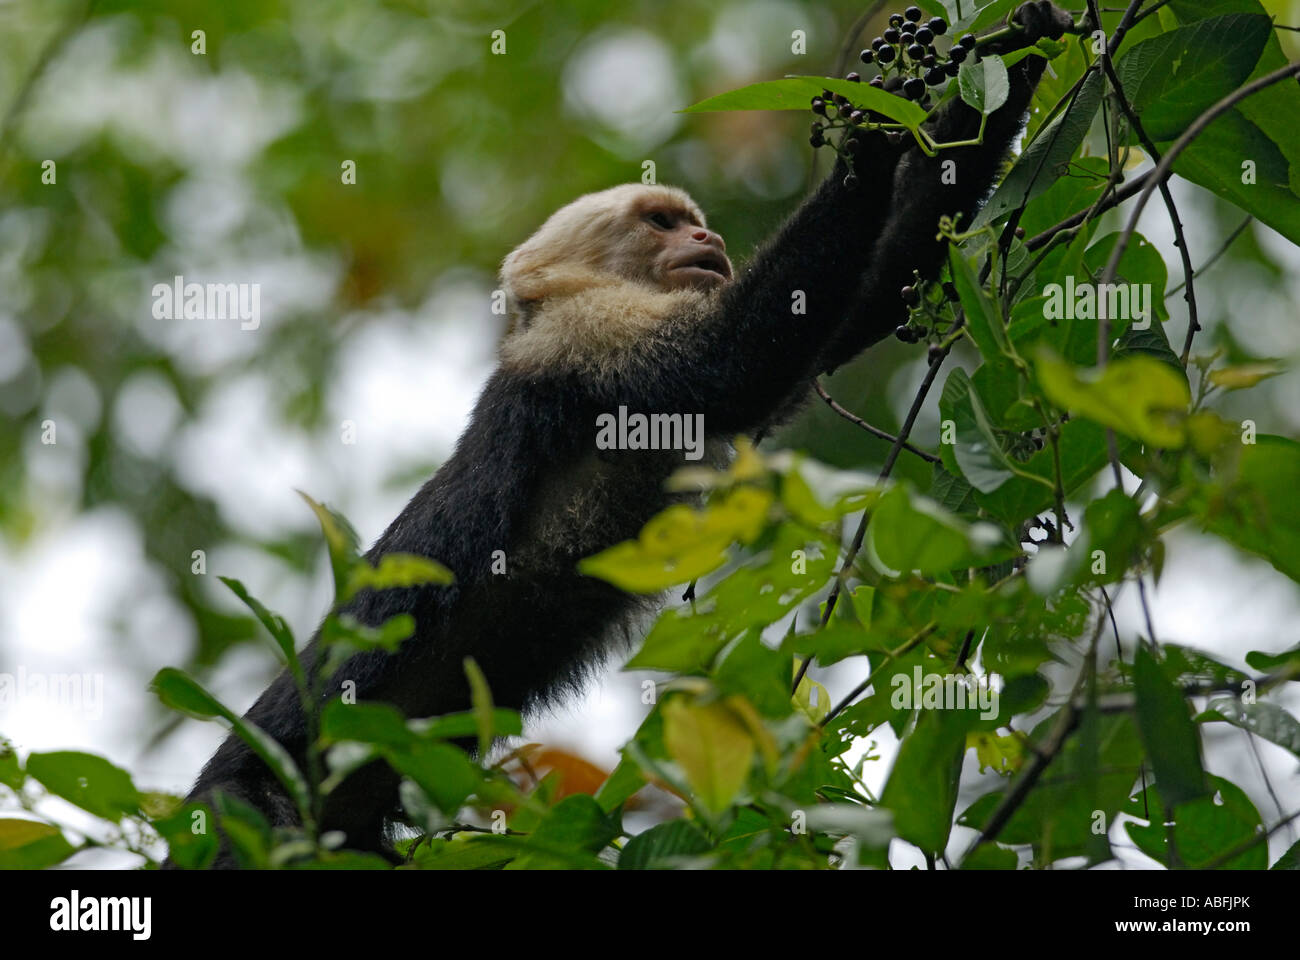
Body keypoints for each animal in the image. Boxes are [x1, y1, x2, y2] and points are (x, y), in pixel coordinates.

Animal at [170, 2, 1073, 868]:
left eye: (691, 224)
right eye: (660, 222)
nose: (708, 239)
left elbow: (863, 303)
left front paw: (1017, 55)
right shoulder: (587, 334)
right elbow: (732, 358)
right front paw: (877, 136)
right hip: (245, 806)